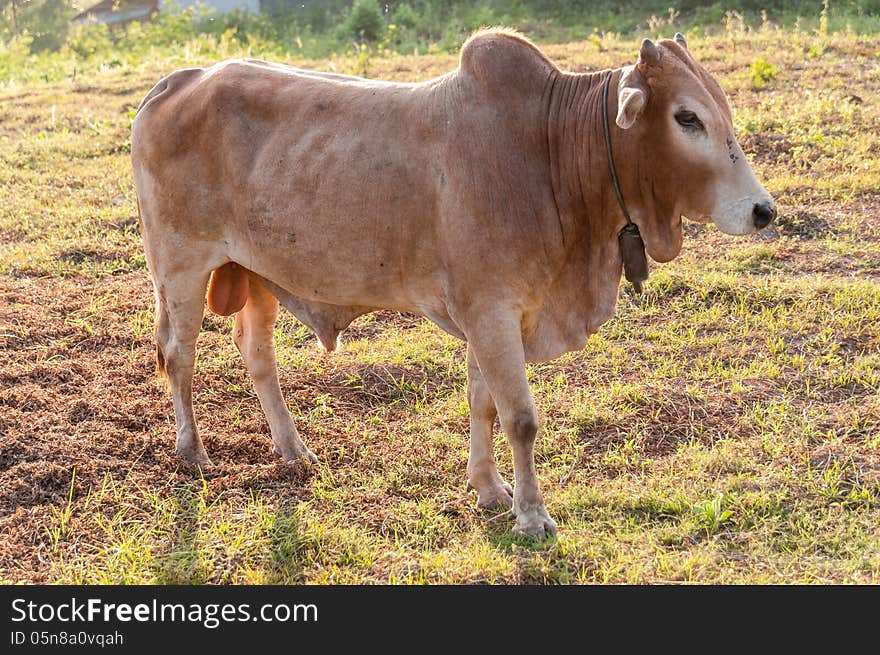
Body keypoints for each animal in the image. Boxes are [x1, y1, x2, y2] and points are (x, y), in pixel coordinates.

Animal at [132, 28, 776, 536]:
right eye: (686, 117)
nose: (762, 211)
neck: (550, 152)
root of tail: (178, 82)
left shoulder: (492, 316)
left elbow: (482, 404)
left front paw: (490, 489)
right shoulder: (491, 311)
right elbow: (520, 417)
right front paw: (532, 516)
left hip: (258, 273)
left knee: (257, 356)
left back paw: (293, 450)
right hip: (180, 267)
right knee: (178, 354)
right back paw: (192, 451)